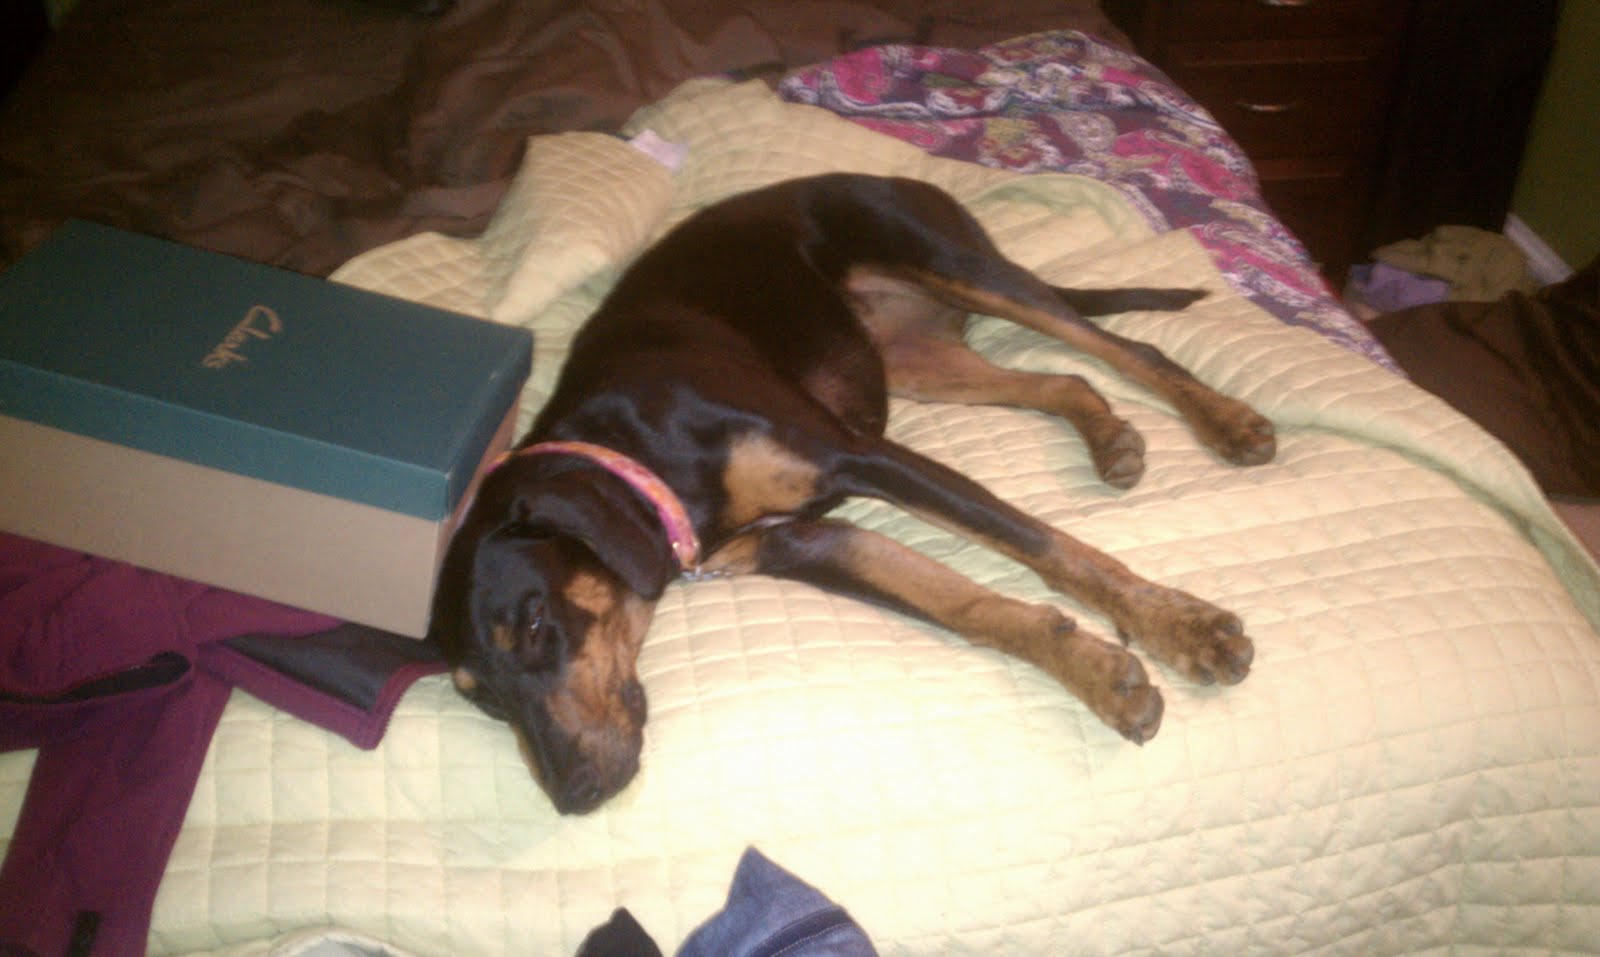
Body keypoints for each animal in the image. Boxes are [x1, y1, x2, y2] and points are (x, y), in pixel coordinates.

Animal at [429, 173, 1274, 814]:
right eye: (479, 696)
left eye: (534, 622)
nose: (574, 793)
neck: (635, 447)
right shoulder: (807, 541)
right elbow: (971, 609)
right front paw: (1098, 674)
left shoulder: (863, 458)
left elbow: (1050, 547)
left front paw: (1181, 626)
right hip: (916, 358)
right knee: (1063, 378)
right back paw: (1109, 438)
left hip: (957, 265)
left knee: (1126, 348)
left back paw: (1225, 421)